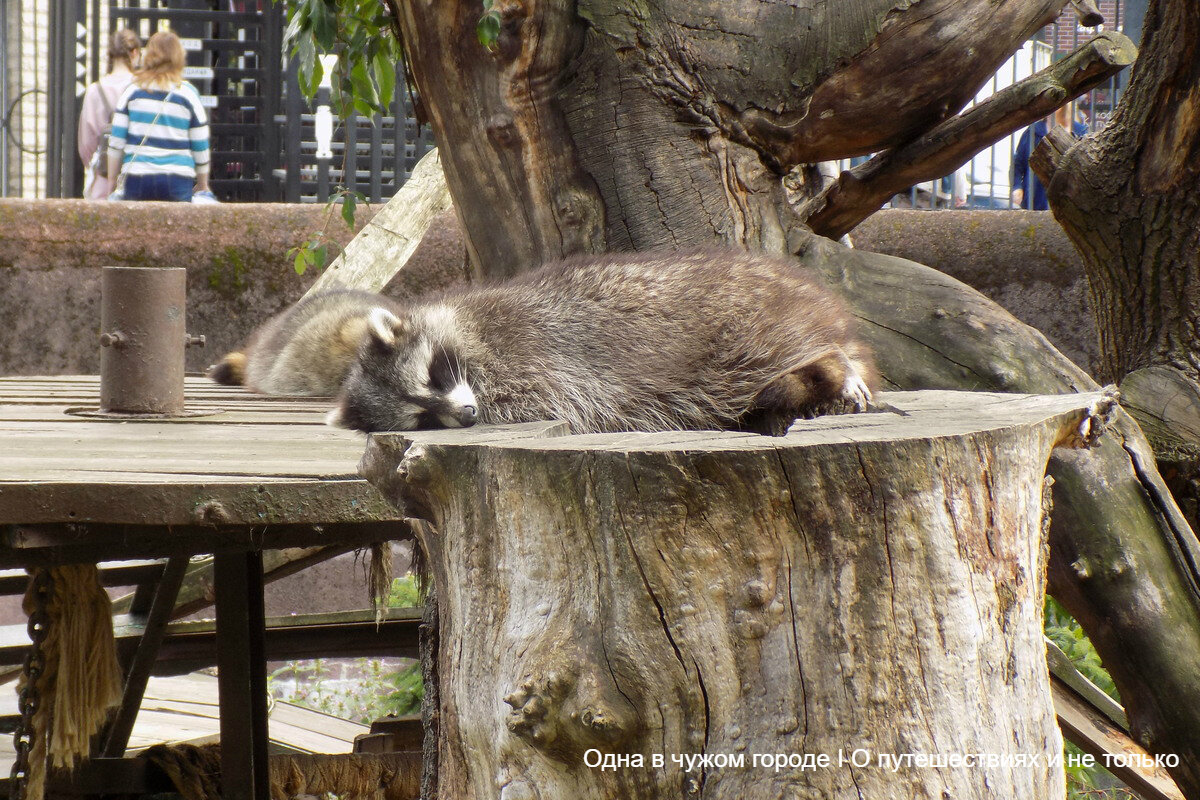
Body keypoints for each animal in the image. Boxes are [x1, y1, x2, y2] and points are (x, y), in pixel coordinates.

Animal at [324, 250, 878, 438]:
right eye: (421, 418)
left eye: (432, 375)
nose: (465, 416)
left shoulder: (530, 358)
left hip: (741, 329)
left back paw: (833, 364)